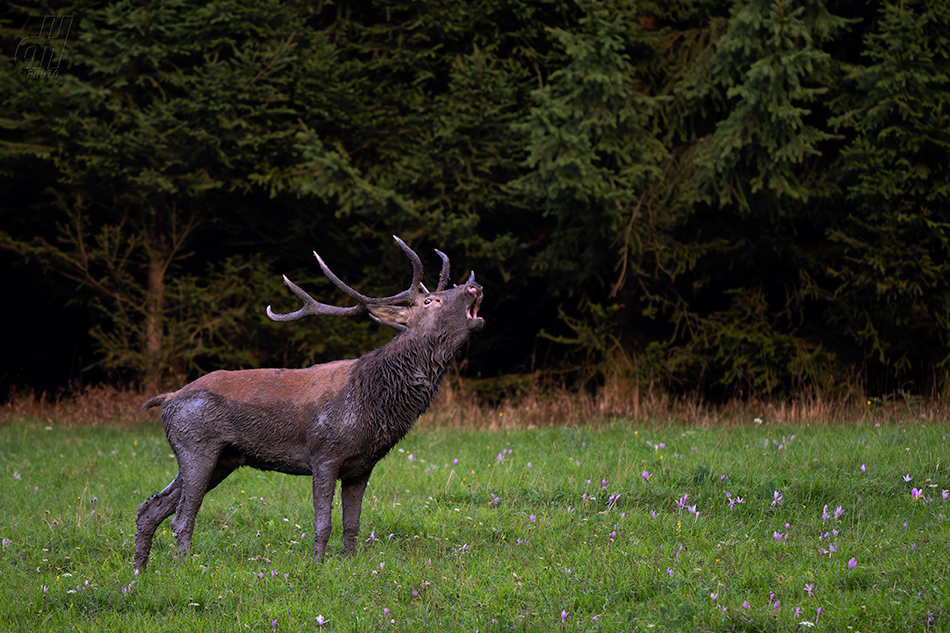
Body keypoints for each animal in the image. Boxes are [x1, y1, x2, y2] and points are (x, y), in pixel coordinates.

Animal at [132, 236, 484, 568]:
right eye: (430, 300)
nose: (474, 286)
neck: (373, 402)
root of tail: (167, 399)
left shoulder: (362, 466)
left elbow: (352, 525)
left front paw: (350, 563)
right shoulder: (324, 454)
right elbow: (323, 523)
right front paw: (317, 565)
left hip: (222, 459)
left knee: (150, 508)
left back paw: (140, 571)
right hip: (197, 447)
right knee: (181, 518)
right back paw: (184, 567)